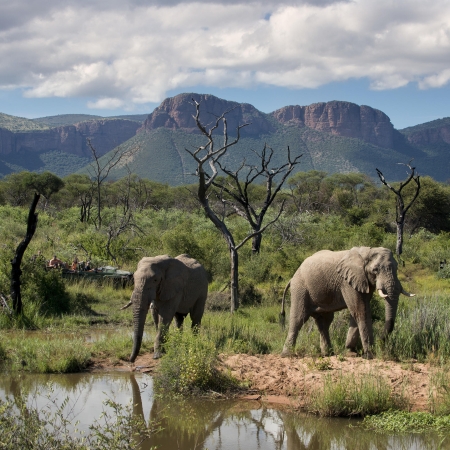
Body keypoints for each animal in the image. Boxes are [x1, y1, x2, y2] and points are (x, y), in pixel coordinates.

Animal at [282, 246, 414, 358]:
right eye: (375, 270)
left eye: (397, 268)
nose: (381, 341)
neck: (367, 252)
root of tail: (293, 277)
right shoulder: (347, 282)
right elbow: (361, 311)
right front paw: (370, 355)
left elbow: (357, 312)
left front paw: (351, 351)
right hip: (300, 288)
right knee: (299, 318)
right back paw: (287, 355)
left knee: (325, 321)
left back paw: (328, 354)